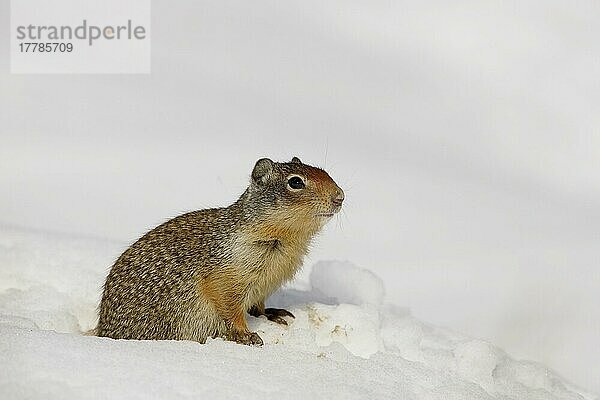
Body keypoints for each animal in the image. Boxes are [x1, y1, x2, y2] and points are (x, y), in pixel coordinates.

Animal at [96, 158, 344, 346]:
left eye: (325, 171)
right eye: (295, 182)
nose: (340, 196)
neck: (285, 239)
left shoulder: (264, 284)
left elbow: (258, 305)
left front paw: (271, 314)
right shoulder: (227, 277)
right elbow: (231, 309)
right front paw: (247, 335)